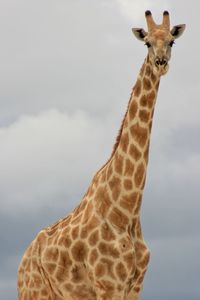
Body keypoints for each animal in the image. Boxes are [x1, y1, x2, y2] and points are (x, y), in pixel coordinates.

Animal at [18, 10, 185, 300]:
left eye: (171, 42)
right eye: (147, 43)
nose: (161, 63)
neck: (127, 210)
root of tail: (21, 265)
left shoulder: (134, 287)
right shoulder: (108, 284)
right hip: (34, 292)